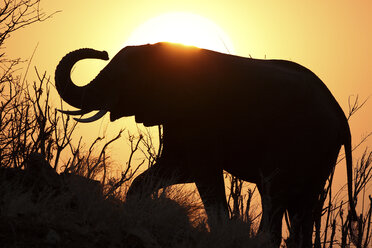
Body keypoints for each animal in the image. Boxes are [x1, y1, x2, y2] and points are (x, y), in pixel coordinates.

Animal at [55, 41, 358, 247]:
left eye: (121, 78)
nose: (102, 52)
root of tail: (341, 117)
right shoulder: (177, 120)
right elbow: (174, 170)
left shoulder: (199, 119)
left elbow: (205, 176)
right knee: (301, 206)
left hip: (301, 142)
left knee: (275, 195)